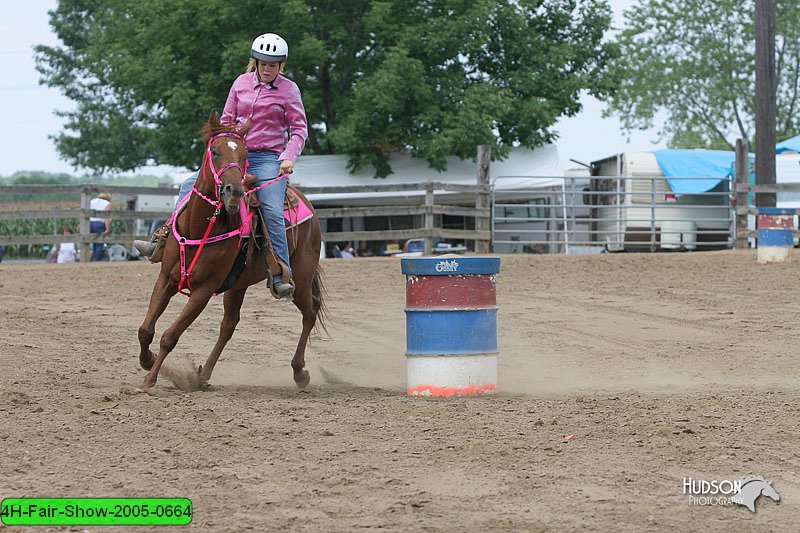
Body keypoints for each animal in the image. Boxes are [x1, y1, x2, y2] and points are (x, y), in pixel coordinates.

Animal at [137, 109, 324, 390]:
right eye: (214, 151)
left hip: (300, 280)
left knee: (310, 312)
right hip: (238, 285)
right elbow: (146, 329)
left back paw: (299, 371)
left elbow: (170, 336)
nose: (234, 191)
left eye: (245, 154)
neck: (200, 227)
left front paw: (149, 380)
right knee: (229, 325)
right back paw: (203, 375)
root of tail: (307, 205)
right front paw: (147, 361)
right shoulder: (166, 278)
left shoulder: (203, 290)